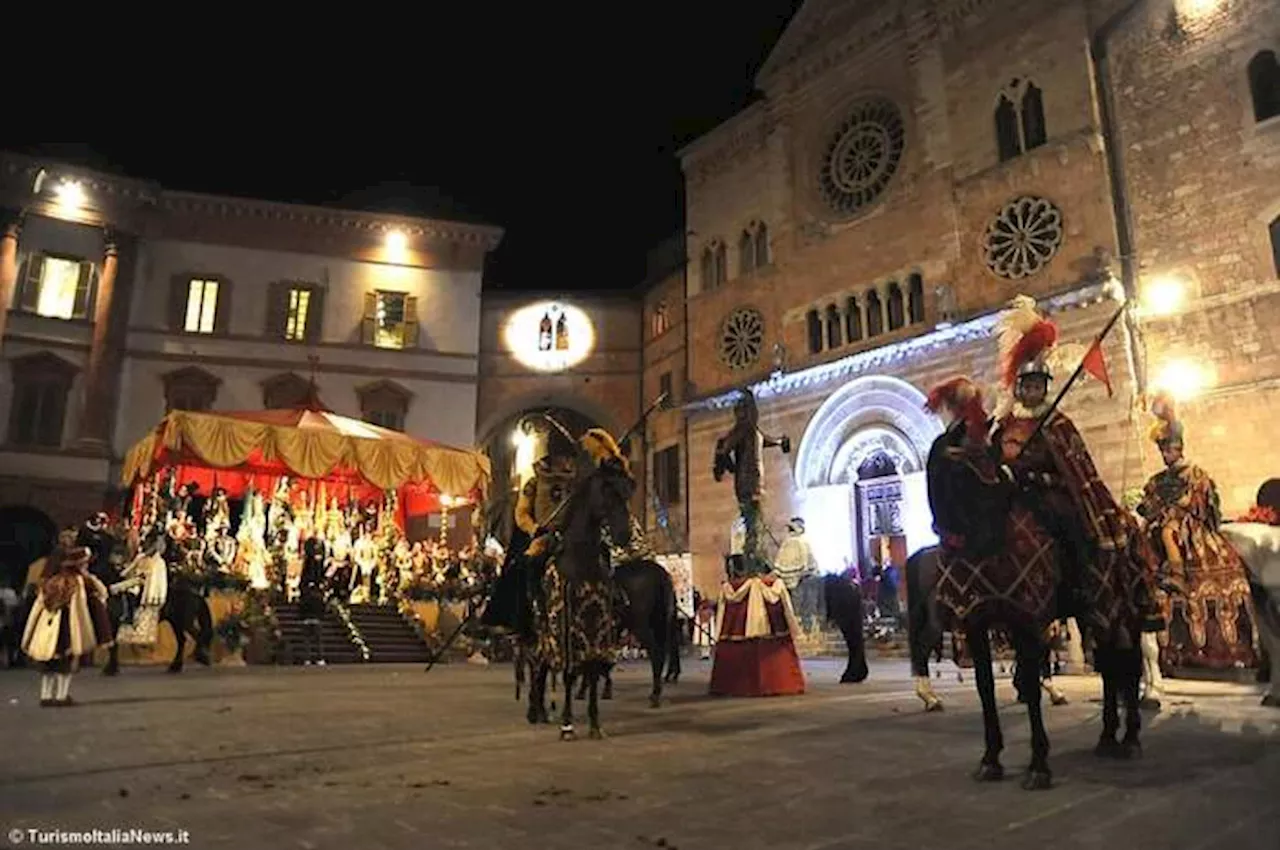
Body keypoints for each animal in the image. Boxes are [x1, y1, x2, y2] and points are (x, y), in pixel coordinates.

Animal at [522, 450, 637, 737]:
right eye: (606, 488)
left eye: (628, 489)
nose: (623, 534)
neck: (581, 561)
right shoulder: (564, 627)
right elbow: (569, 673)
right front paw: (567, 724)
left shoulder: (597, 626)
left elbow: (593, 670)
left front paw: (595, 724)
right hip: (538, 633)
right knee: (536, 665)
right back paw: (534, 709)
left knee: (542, 667)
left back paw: (541, 711)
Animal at [921, 432, 1152, 788]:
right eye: (956, 471)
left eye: (980, 465)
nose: (983, 538)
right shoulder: (975, 621)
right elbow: (985, 688)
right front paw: (990, 759)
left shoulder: (1026, 619)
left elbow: (1030, 685)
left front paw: (1038, 765)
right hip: (1093, 613)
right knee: (1110, 668)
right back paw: (1107, 737)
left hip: (1126, 609)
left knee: (1129, 666)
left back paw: (1130, 739)